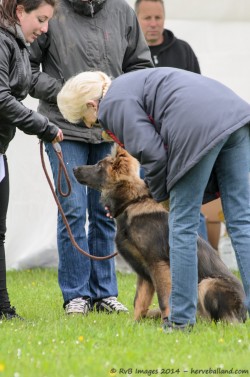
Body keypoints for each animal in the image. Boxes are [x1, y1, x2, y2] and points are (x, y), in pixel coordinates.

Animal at [72, 145, 246, 322]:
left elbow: (164, 299)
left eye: (99, 166)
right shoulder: (144, 273)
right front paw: (134, 323)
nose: (74, 168)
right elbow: (139, 301)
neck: (133, 202)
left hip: (206, 284)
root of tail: (243, 313)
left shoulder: (158, 265)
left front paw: (167, 321)